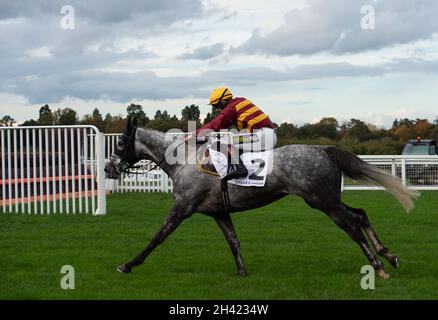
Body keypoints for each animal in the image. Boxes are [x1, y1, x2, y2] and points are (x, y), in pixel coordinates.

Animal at [105, 119, 418, 278]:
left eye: (120, 143)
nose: (108, 168)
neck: (185, 159)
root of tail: (323, 149)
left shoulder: (182, 208)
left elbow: (156, 238)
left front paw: (128, 264)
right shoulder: (218, 212)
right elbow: (233, 241)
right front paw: (242, 272)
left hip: (322, 201)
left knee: (352, 225)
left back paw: (378, 266)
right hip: (327, 199)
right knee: (360, 213)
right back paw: (389, 256)